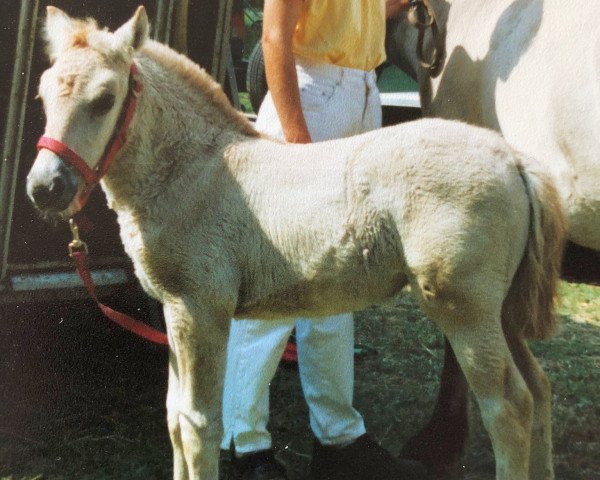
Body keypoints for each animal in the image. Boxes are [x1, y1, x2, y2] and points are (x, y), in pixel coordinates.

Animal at [25, 7, 564, 480]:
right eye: (42, 97)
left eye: (104, 98)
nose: (45, 187)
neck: (194, 169)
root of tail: (514, 158)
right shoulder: (171, 309)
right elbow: (174, 419)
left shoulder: (200, 310)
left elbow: (199, 425)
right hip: (501, 310)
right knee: (539, 392)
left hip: (464, 309)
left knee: (509, 408)